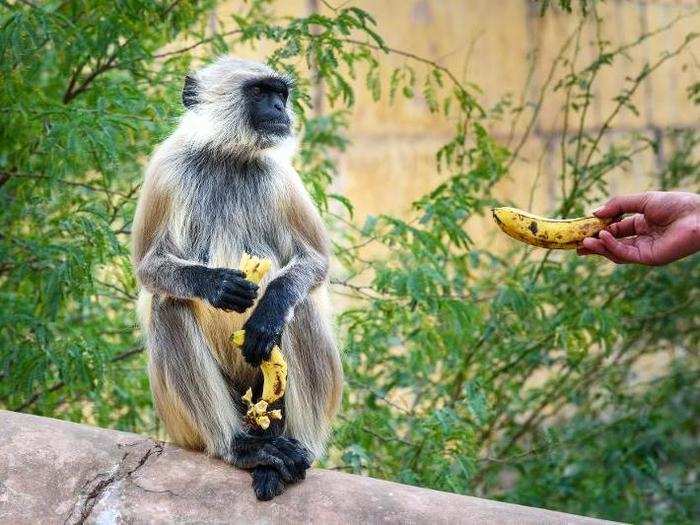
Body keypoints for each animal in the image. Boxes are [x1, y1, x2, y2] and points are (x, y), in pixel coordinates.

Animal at [132, 57, 344, 500]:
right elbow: (148, 267)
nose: (280, 109)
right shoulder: (166, 168)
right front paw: (214, 286)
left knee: (300, 307)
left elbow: (316, 260)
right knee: (168, 303)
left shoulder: (282, 176)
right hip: (184, 425)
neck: (229, 154)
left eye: (280, 93)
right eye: (260, 92)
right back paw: (243, 448)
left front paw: (269, 310)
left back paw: (296, 450)